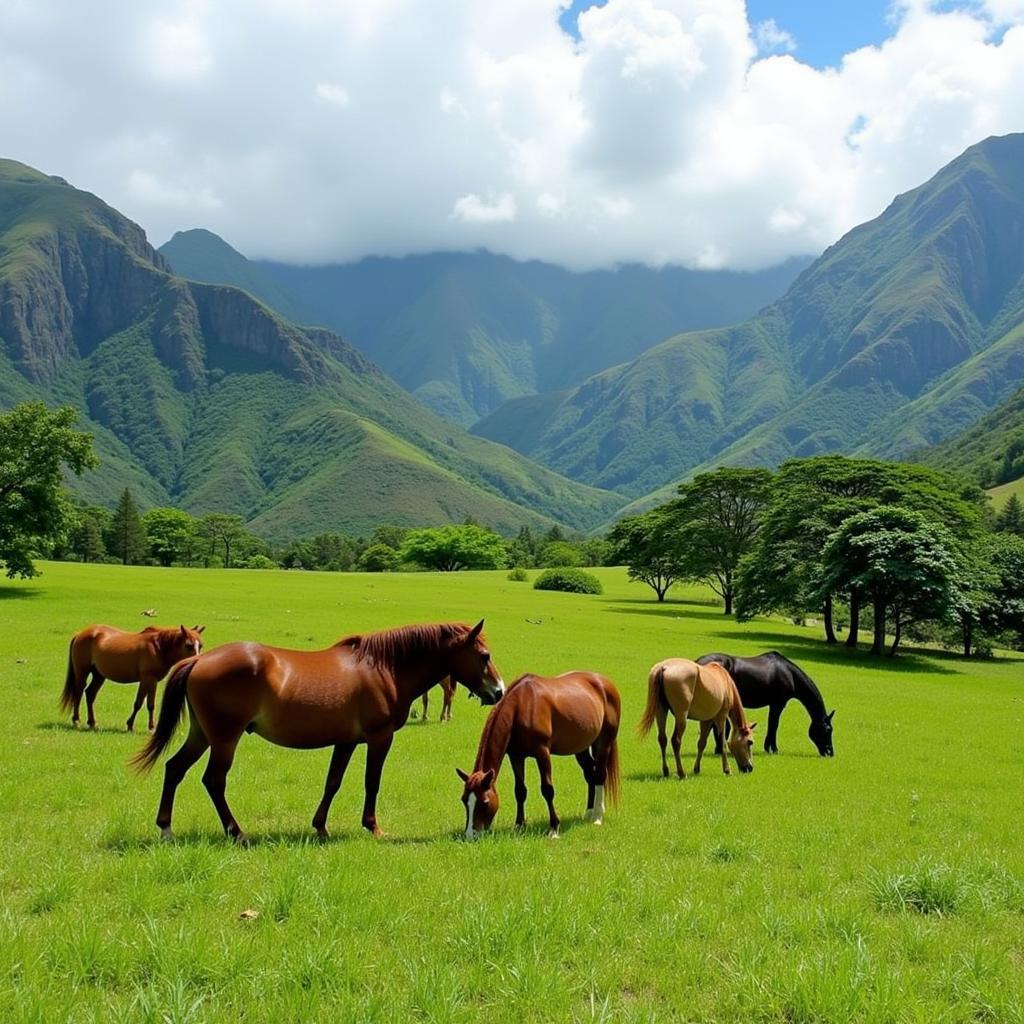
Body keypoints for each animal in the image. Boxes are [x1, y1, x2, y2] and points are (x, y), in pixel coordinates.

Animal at [60, 618, 205, 733]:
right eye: (189, 645)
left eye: (201, 645)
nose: (197, 662)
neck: (158, 648)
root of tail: (80, 633)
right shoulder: (147, 679)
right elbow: (139, 703)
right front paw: (131, 725)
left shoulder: (152, 681)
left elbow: (150, 704)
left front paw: (151, 727)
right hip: (82, 672)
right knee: (78, 692)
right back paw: (76, 720)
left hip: (99, 675)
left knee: (90, 694)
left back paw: (92, 723)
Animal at [133, 618, 503, 843]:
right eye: (485, 655)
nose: (498, 691)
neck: (383, 668)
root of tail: (198, 660)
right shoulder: (379, 738)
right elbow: (372, 782)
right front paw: (373, 827)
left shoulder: (346, 742)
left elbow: (333, 782)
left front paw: (321, 827)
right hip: (224, 739)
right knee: (213, 781)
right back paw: (237, 833)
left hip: (202, 735)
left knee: (175, 769)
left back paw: (166, 828)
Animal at [458, 671, 618, 839]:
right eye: (464, 800)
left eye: (485, 802)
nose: (470, 835)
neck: (522, 706)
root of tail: (604, 682)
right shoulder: (516, 756)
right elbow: (520, 791)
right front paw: (519, 825)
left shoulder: (542, 752)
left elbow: (547, 790)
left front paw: (554, 828)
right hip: (581, 747)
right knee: (589, 773)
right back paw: (589, 812)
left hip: (604, 742)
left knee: (599, 774)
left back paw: (597, 816)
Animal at [700, 651, 835, 757]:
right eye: (828, 730)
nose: (830, 752)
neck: (789, 674)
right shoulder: (778, 704)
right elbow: (774, 725)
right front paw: (773, 749)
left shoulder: (774, 705)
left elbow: (772, 725)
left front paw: (768, 747)